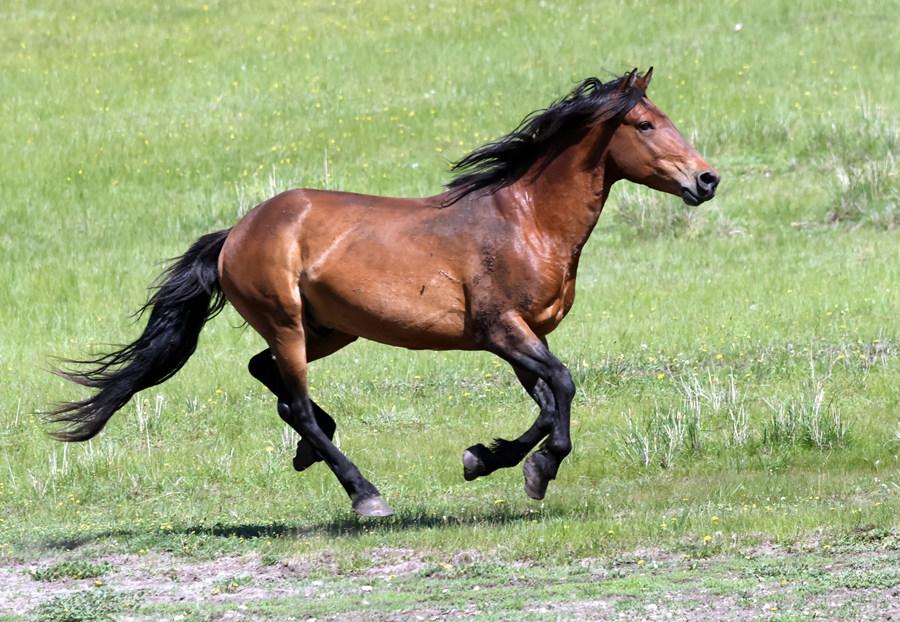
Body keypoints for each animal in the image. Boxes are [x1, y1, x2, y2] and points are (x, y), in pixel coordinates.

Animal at [49, 68, 719, 517]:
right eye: (645, 124)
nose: (706, 179)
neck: (525, 221)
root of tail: (235, 233)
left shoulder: (520, 337)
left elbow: (547, 401)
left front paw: (489, 459)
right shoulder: (503, 329)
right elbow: (562, 388)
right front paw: (536, 469)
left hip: (329, 329)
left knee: (267, 375)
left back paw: (311, 450)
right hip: (289, 324)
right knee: (293, 399)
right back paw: (364, 493)